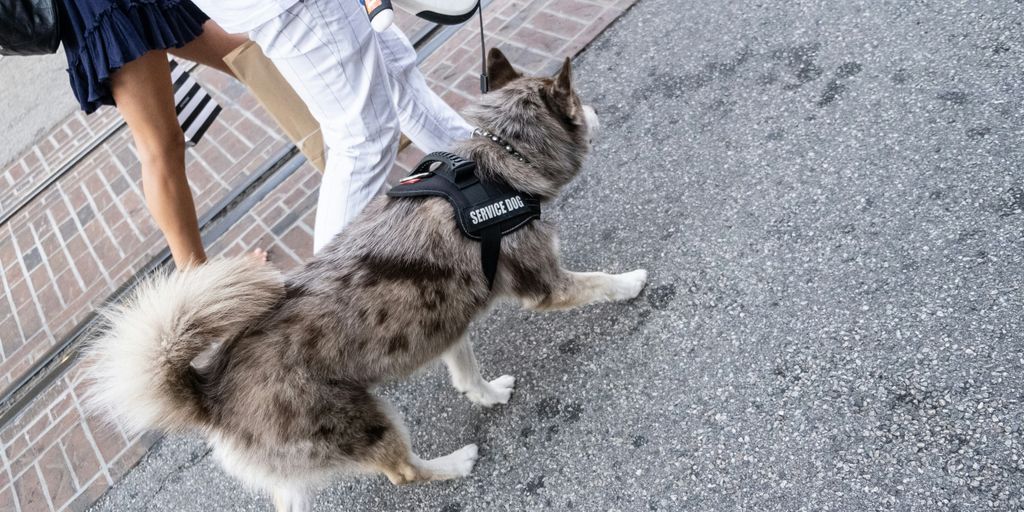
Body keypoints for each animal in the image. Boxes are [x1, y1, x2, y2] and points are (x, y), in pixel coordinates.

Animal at [86, 48, 647, 512]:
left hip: (300, 468)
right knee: (402, 472)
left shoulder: (445, 319)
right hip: (366, 423)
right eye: (579, 102)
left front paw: (485, 394)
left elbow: (465, 371)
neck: (497, 165)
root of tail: (211, 391)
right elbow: (600, 282)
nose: (597, 112)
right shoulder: (546, 286)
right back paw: (453, 463)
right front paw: (633, 282)